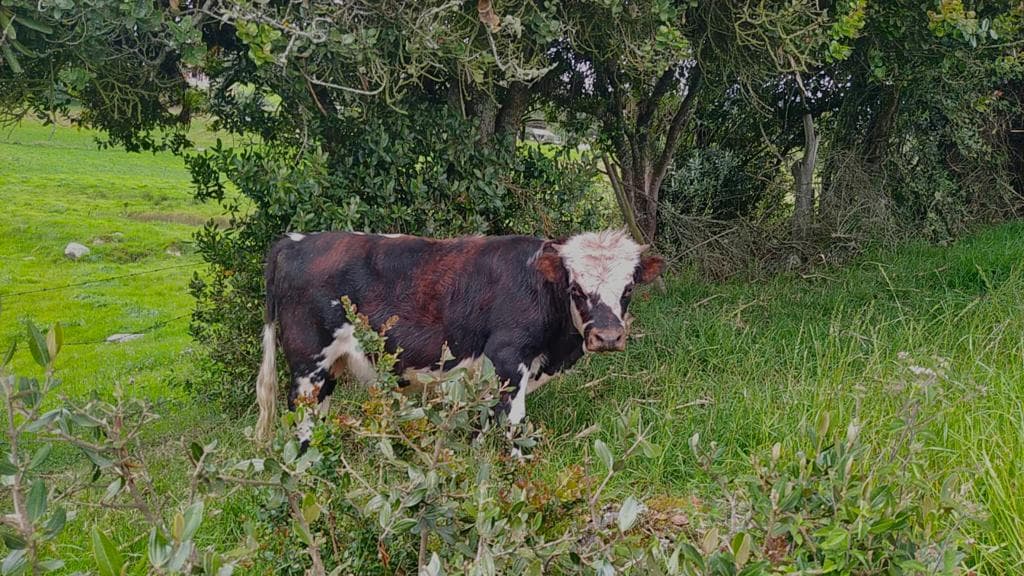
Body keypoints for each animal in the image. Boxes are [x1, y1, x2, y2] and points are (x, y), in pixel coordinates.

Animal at [254, 229, 664, 445]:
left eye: (628, 288)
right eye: (576, 289)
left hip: (329, 366)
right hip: (308, 362)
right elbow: (513, 422)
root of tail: (295, 241)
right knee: (301, 417)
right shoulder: (507, 357)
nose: (608, 336)